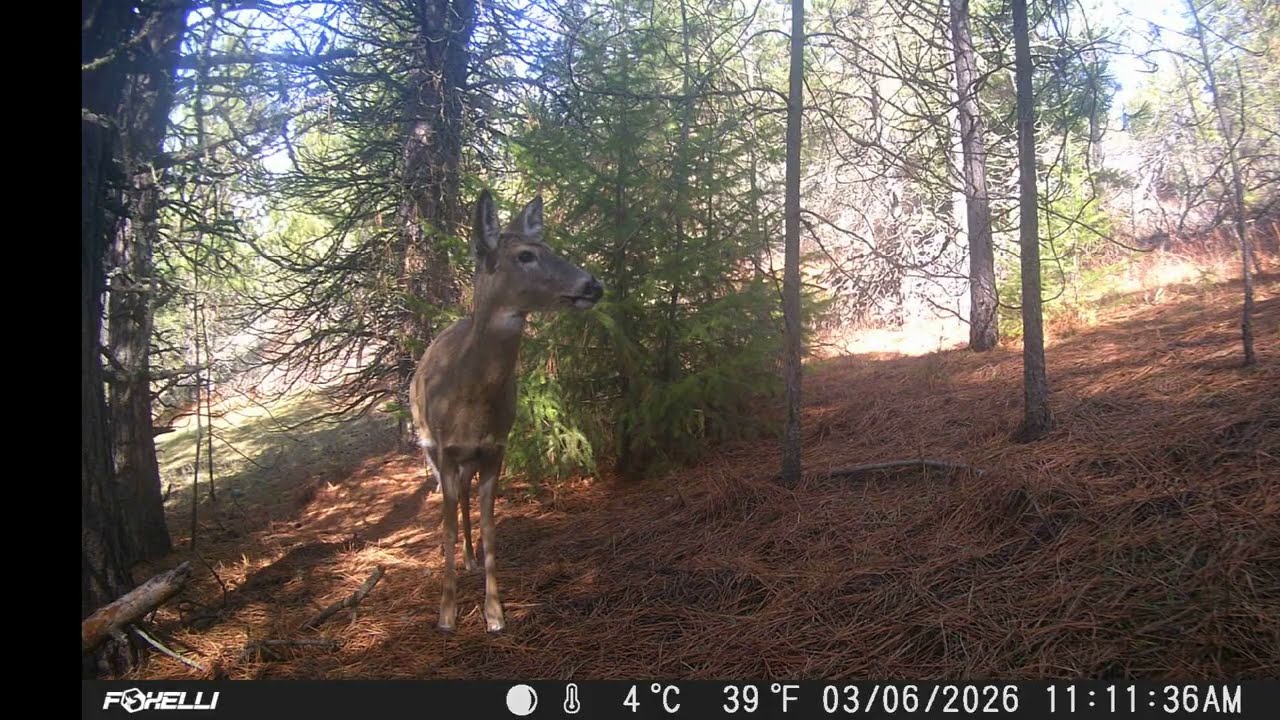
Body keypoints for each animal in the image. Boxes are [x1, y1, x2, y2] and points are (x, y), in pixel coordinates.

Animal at [409, 189, 604, 632]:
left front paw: (495, 613)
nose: (593, 284)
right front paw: (446, 614)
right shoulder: (444, 450)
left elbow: (491, 529)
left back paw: (470, 560)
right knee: (450, 503)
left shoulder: (496, 448)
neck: (469, 399)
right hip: (429, 449)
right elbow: (445, 526)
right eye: (526, 255)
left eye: (549, 247)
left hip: (469, 459)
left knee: (463, 497)